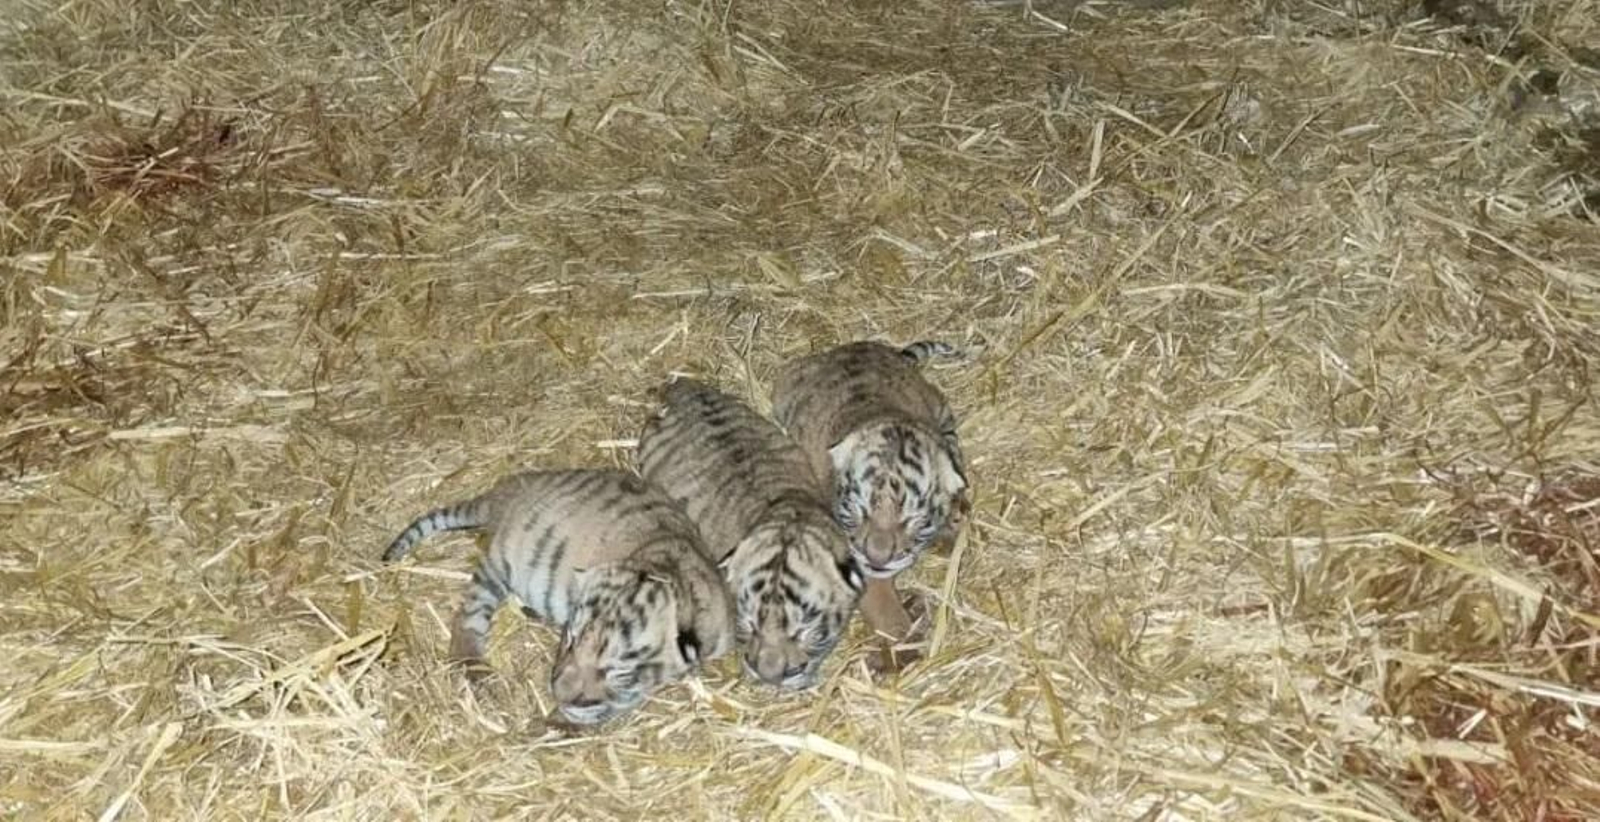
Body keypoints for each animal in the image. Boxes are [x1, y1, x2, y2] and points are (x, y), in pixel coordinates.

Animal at [380, 468, 735, 726]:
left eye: (617, 670)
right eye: (571, 639)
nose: (558, 695)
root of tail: (506, 491)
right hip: (499, 563)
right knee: (468, 619)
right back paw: (475, 669)